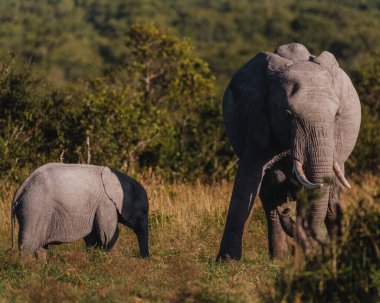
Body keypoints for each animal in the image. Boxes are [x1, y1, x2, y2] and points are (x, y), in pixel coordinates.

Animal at [10, 164, 150, 262]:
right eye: (144, 212)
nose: (145, 260)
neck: (120, 179)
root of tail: (20, 190)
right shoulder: (106, 203)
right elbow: (108, 234)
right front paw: (114, 263)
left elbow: (93, 237)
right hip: (34, 209)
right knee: (28, 244)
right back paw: (28, 270)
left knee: (40, 246)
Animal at [218, 42, 360, 262]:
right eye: (288, 115)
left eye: (337, 115)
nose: (287, 212)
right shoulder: (257, 118)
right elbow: (248, 178)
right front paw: (227, 262)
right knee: (270, 198)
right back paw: (279, 258)